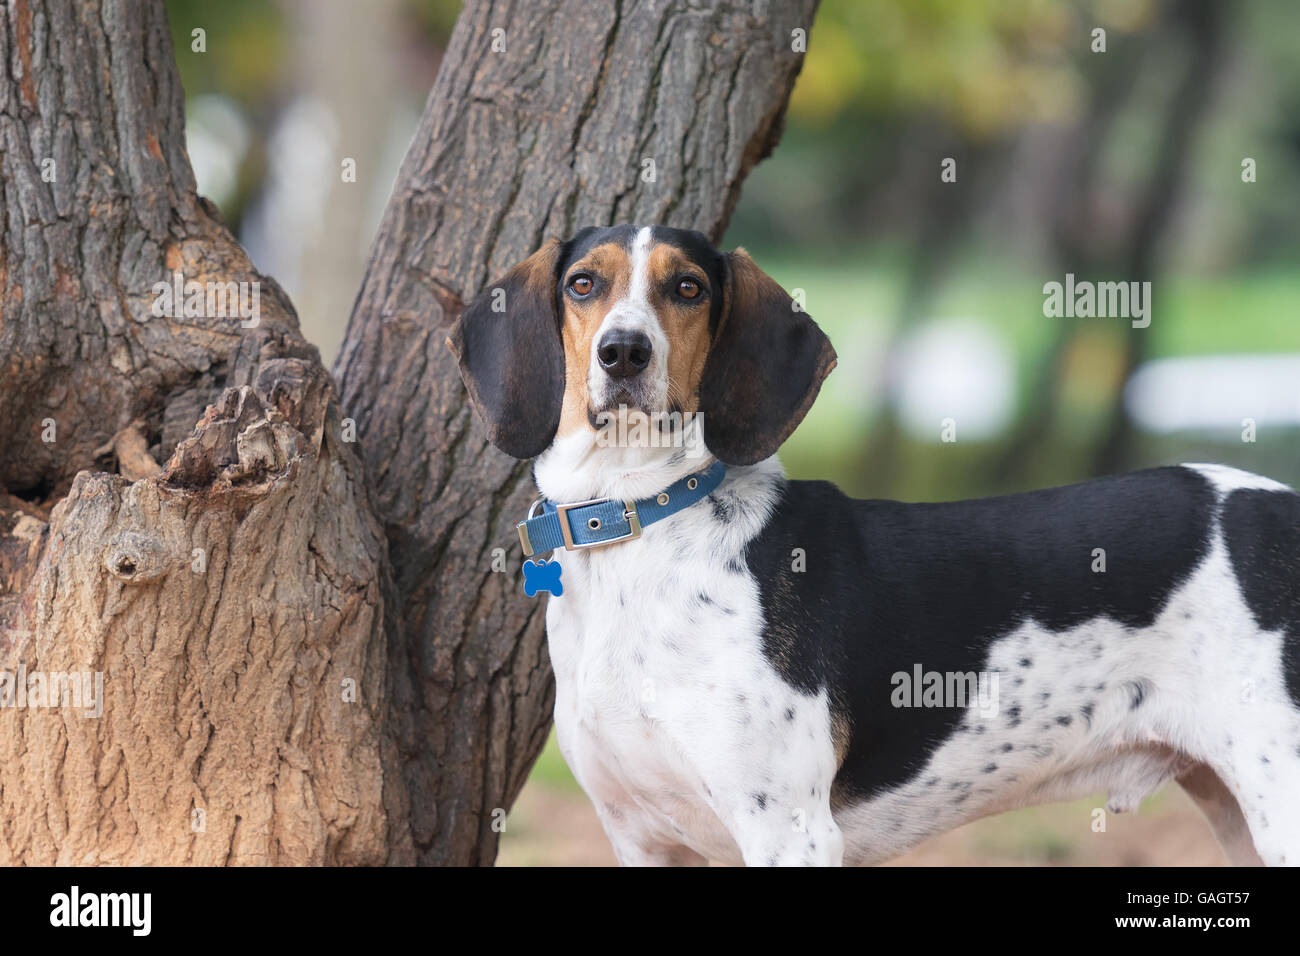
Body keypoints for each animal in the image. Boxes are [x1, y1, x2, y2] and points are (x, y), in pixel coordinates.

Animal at [449, 226, 1300, 868]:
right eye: (583, 284)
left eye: (687, 288)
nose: (623, 352)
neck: (642, 523)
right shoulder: (643, 840)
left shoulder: (789, 834)